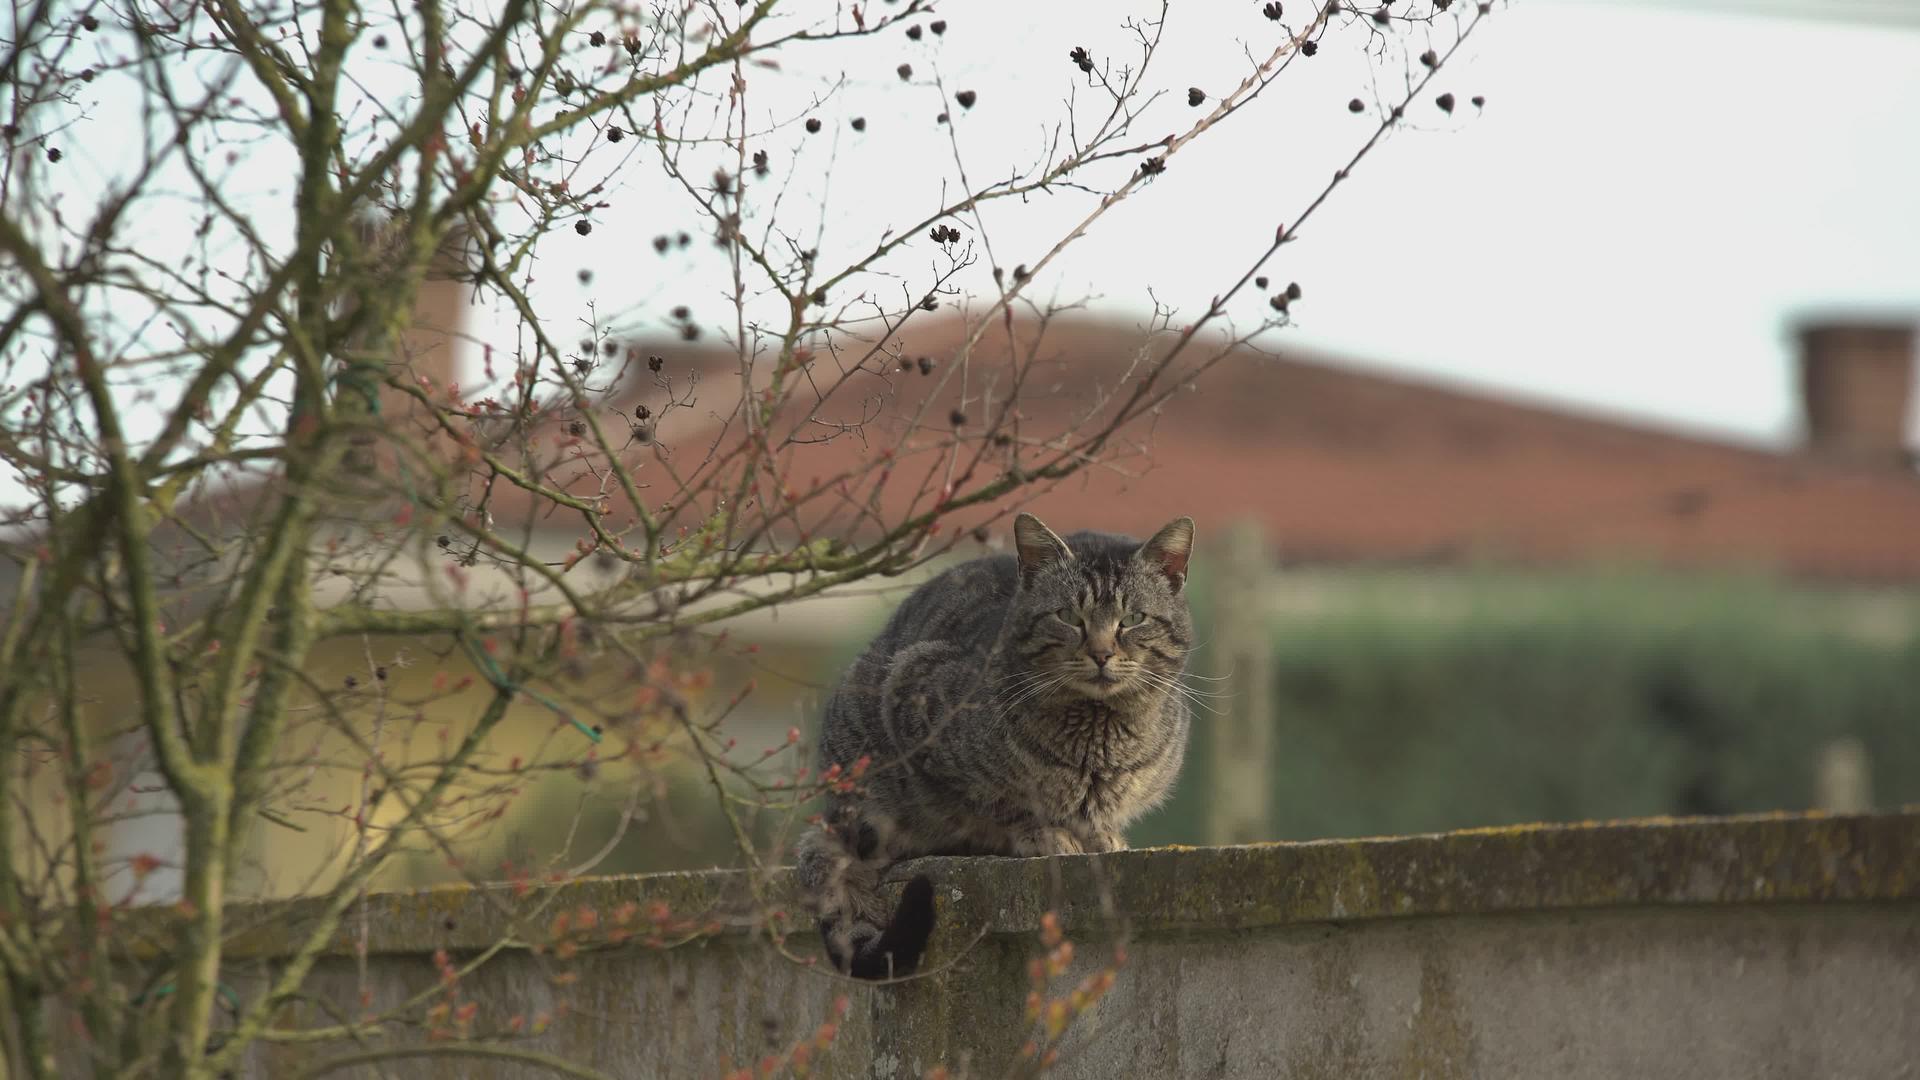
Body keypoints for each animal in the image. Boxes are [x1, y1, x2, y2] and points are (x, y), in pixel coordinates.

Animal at [791, 511, 1182, 976]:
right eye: (1069, 616)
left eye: (1133, 618)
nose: (1102, 653)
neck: (1097, 730)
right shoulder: (916, 701)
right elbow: (1000, 803)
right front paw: (1044, 833)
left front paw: (1103, 835)